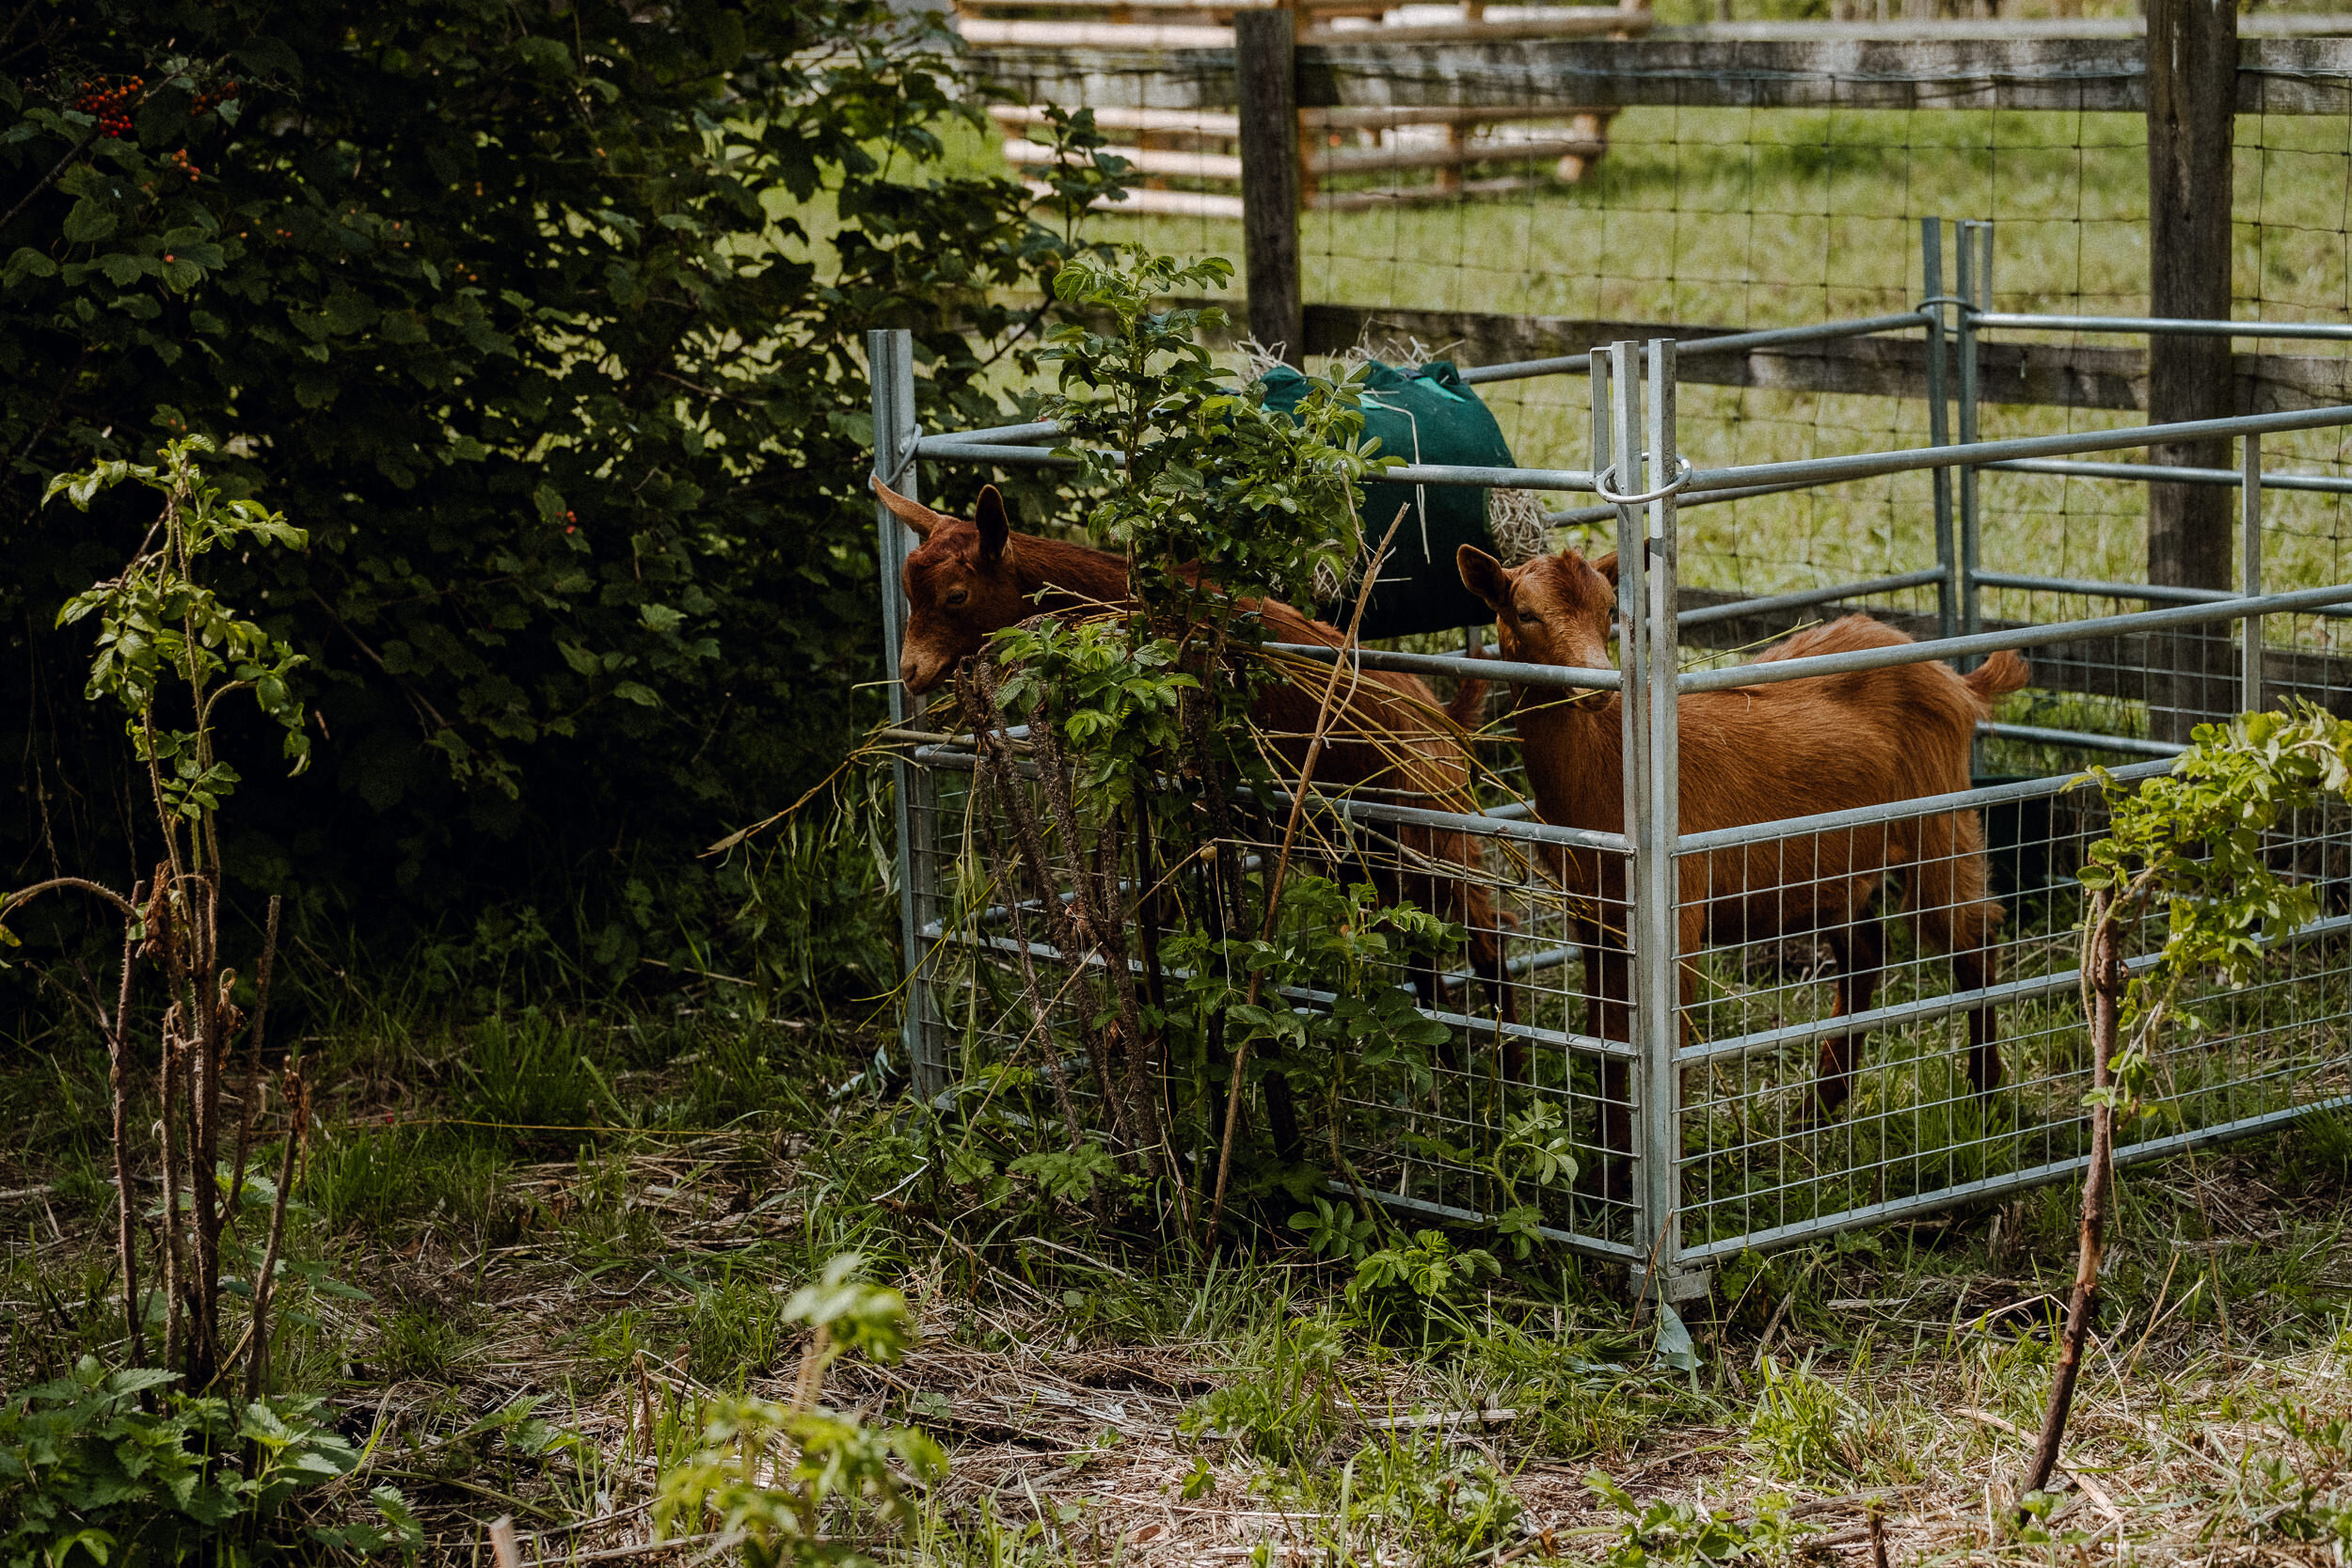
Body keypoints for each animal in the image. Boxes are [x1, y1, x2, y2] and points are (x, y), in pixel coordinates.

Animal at [884, 482, 1524, 1053]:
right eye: (910, 593)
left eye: (956, 596)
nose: (911, 671)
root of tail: (1447, 721)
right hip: (1358, 852)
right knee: (1424, 959)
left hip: (1428, 835)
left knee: (1486, 941)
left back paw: (1508, 1070)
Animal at [1449, 543, 2023, 1142]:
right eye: (1524, 613)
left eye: (1609, 611)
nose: (1596, 686)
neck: (1612, 765)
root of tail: (1954, 679)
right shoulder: (1592, 911)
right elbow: (1608, 1038)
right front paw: (1608, 1161)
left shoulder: (1678, 908)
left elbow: (1669, 1039)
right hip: (1838, 858)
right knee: (1866, 955)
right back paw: (1817, 1110)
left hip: (1937, 813)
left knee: (1972, 939)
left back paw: (1987, 1098)